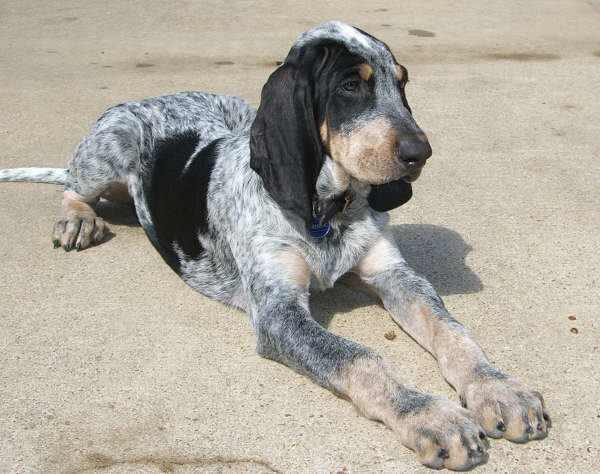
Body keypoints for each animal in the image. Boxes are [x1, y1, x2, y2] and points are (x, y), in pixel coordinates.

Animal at [0, 21, 548, 470]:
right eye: (351, 86)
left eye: (402, 82)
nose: (421, 153)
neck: (326, 211)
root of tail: (157, 97)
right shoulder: (278, 312)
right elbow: (360, 358)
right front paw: (430, 415)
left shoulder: (395, 275)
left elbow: (453, 332)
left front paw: (497, 388)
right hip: (109, 145)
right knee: (74, 185)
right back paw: (77, 220)